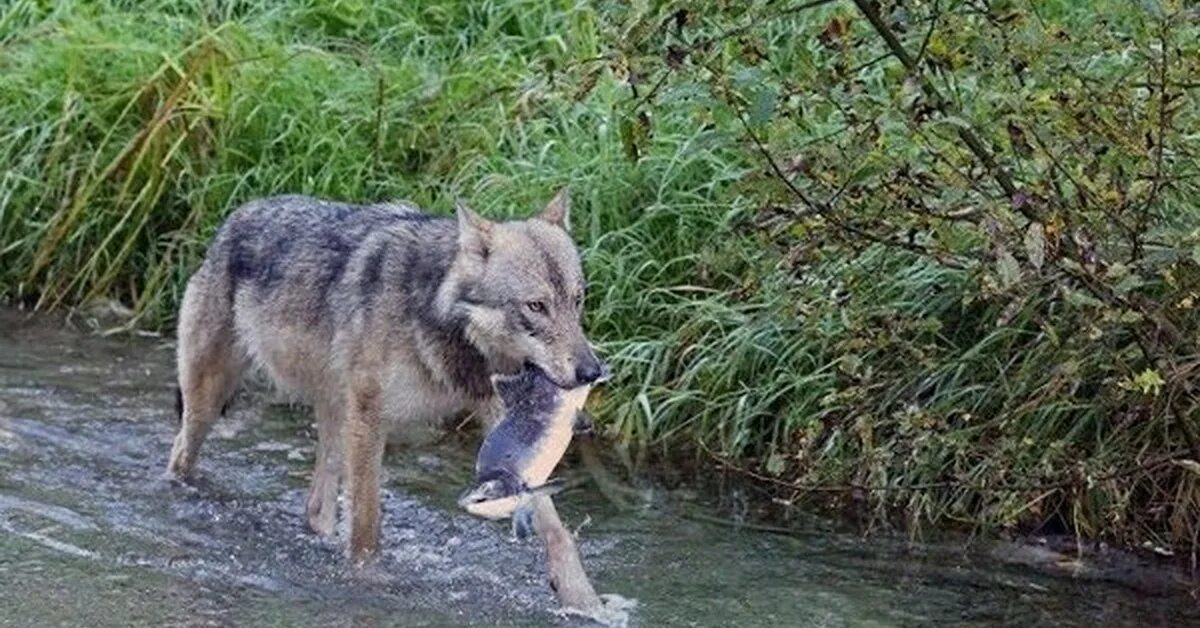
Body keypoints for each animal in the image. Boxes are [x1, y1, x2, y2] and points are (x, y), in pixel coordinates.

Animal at [164, 189, 609, 607]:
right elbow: (366, 526)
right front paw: (369, 583)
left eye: (577, 300)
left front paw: (583, 600)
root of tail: (233, 219)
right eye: (536, 306)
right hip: (210, 404)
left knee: (316, 506)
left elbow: (555, 526)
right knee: (180, 453)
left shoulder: (504, 418)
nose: (591, 371)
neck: (435, 313)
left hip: (334, 419)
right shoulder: (369, 419)